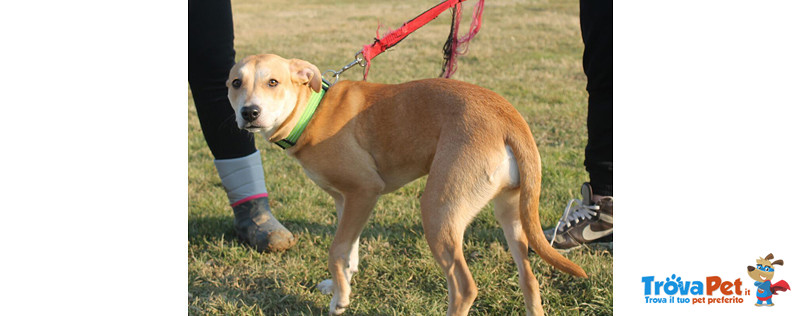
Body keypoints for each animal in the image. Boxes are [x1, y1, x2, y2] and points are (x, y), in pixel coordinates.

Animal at [225, 53, 588, 314]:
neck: (312, 112)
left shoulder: (363, 191)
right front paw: (341, 287)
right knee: (529, 279)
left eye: (273, 82)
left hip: (437, 211)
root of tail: (508, 118)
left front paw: (340, 301)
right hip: (511, 213)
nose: (249, 113)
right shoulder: (347, 201)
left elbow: (337, 250)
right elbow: (350, 250)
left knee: (464, 287)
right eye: (235, 83)